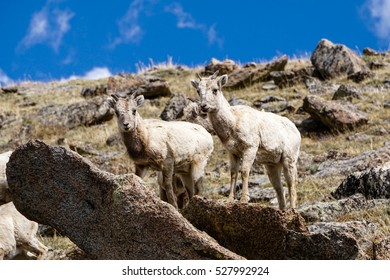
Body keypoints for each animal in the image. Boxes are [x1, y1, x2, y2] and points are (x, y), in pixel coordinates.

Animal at [190, 71, 300, 209]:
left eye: (215, 90)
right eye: (198, 90)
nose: (203, 106)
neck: (233, 122)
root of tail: (296, 131)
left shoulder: (250, 148)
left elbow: (244, 171)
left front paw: (244, 199)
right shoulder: (233, 153)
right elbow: (233, 173)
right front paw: (230, 199)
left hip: (289, 160)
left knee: (292, 184)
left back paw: (293, 209)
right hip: (272, 165)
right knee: (280, 190)